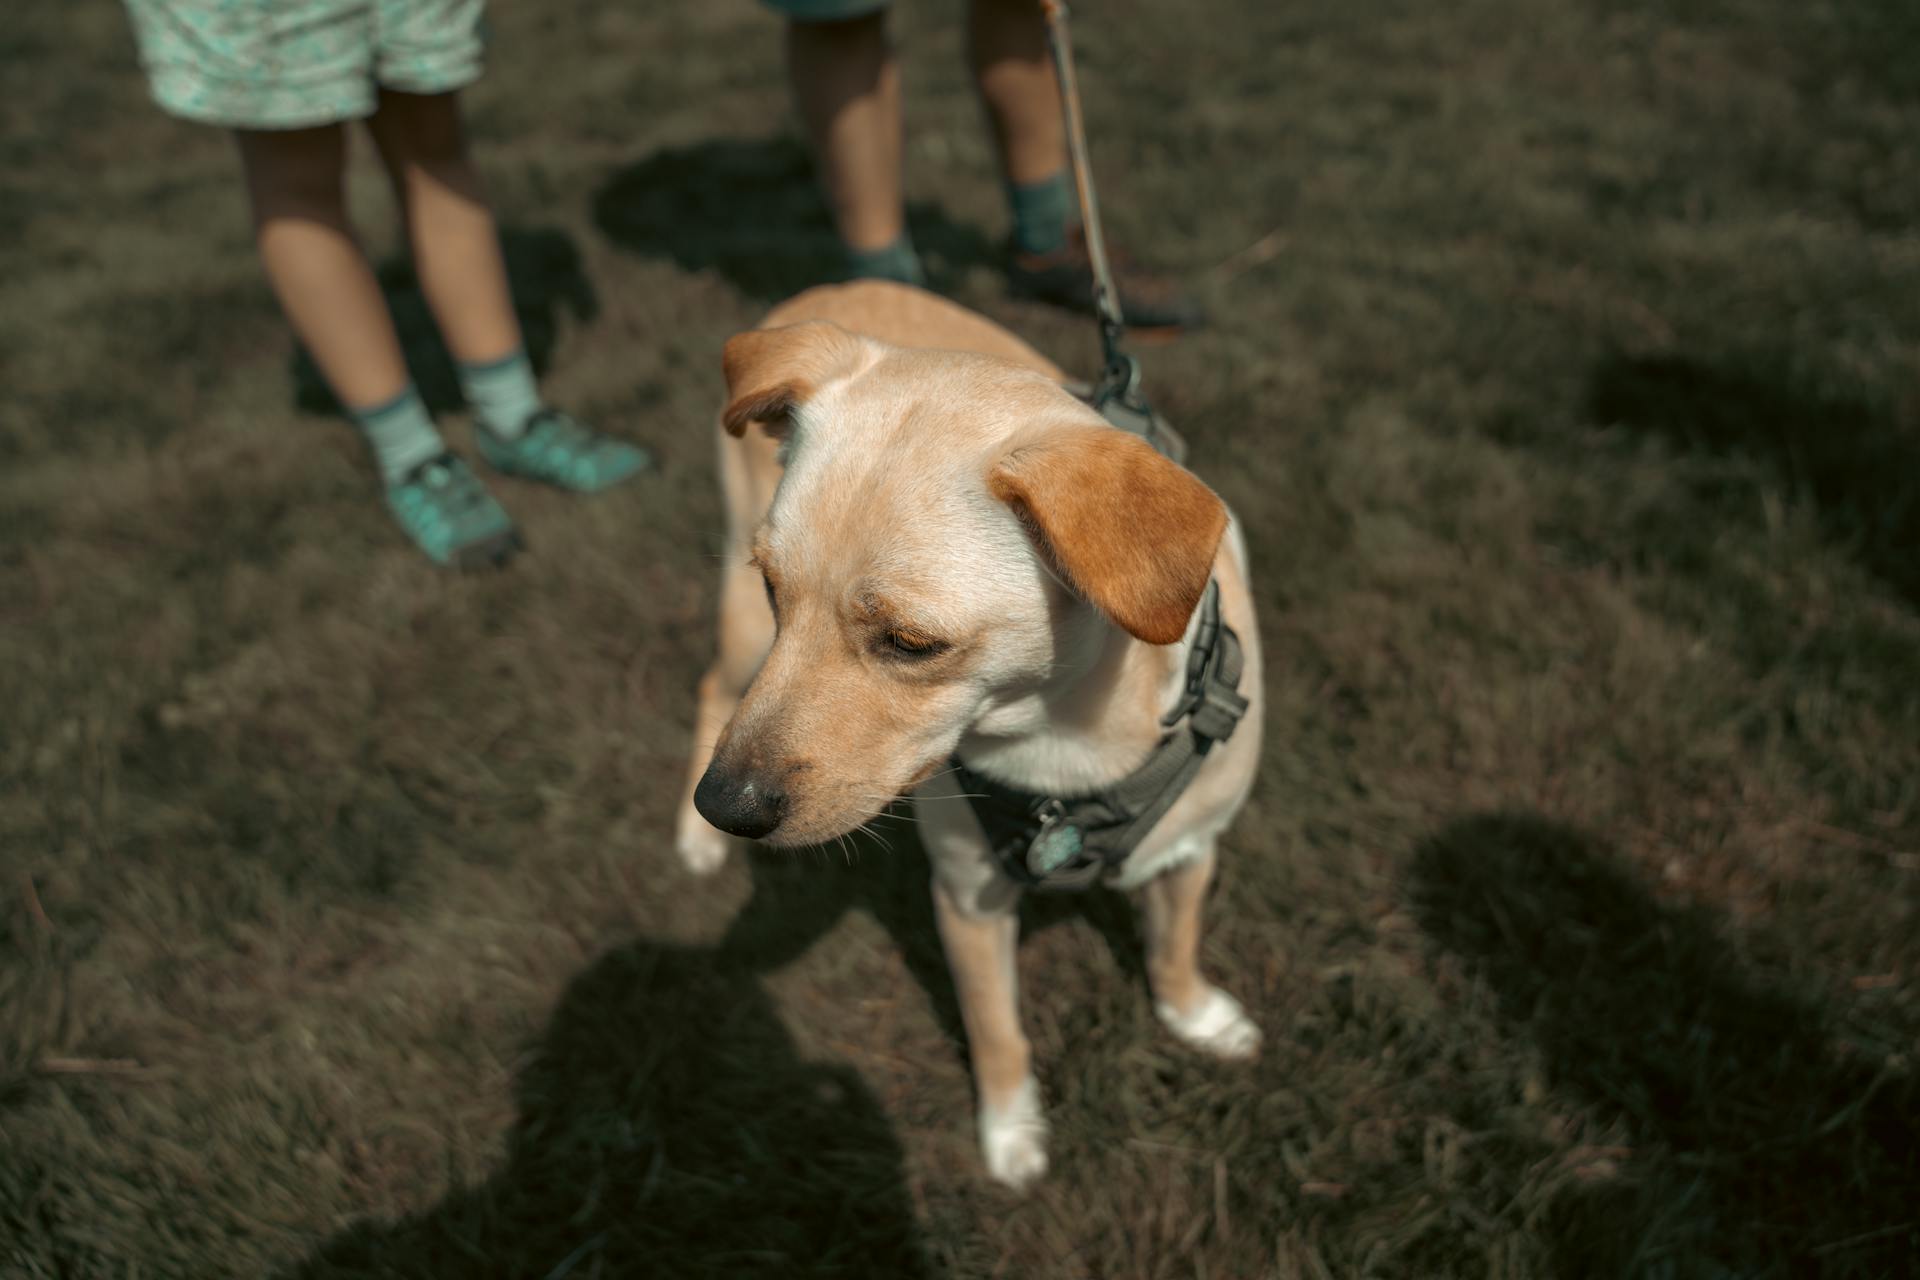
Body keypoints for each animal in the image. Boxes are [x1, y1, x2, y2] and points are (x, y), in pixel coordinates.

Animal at [675, 280, 1259, 1189]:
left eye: (910, 643)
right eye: (777, 590)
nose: (723, 807)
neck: (1068, 746)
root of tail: (826, 288)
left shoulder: (1190, 851)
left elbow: (1175, 947)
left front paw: (1196, 1017)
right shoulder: (967, 900)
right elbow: (995, 1031)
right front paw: (1012, 1135)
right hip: (738, 634)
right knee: (709, 687)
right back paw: (691, 843)